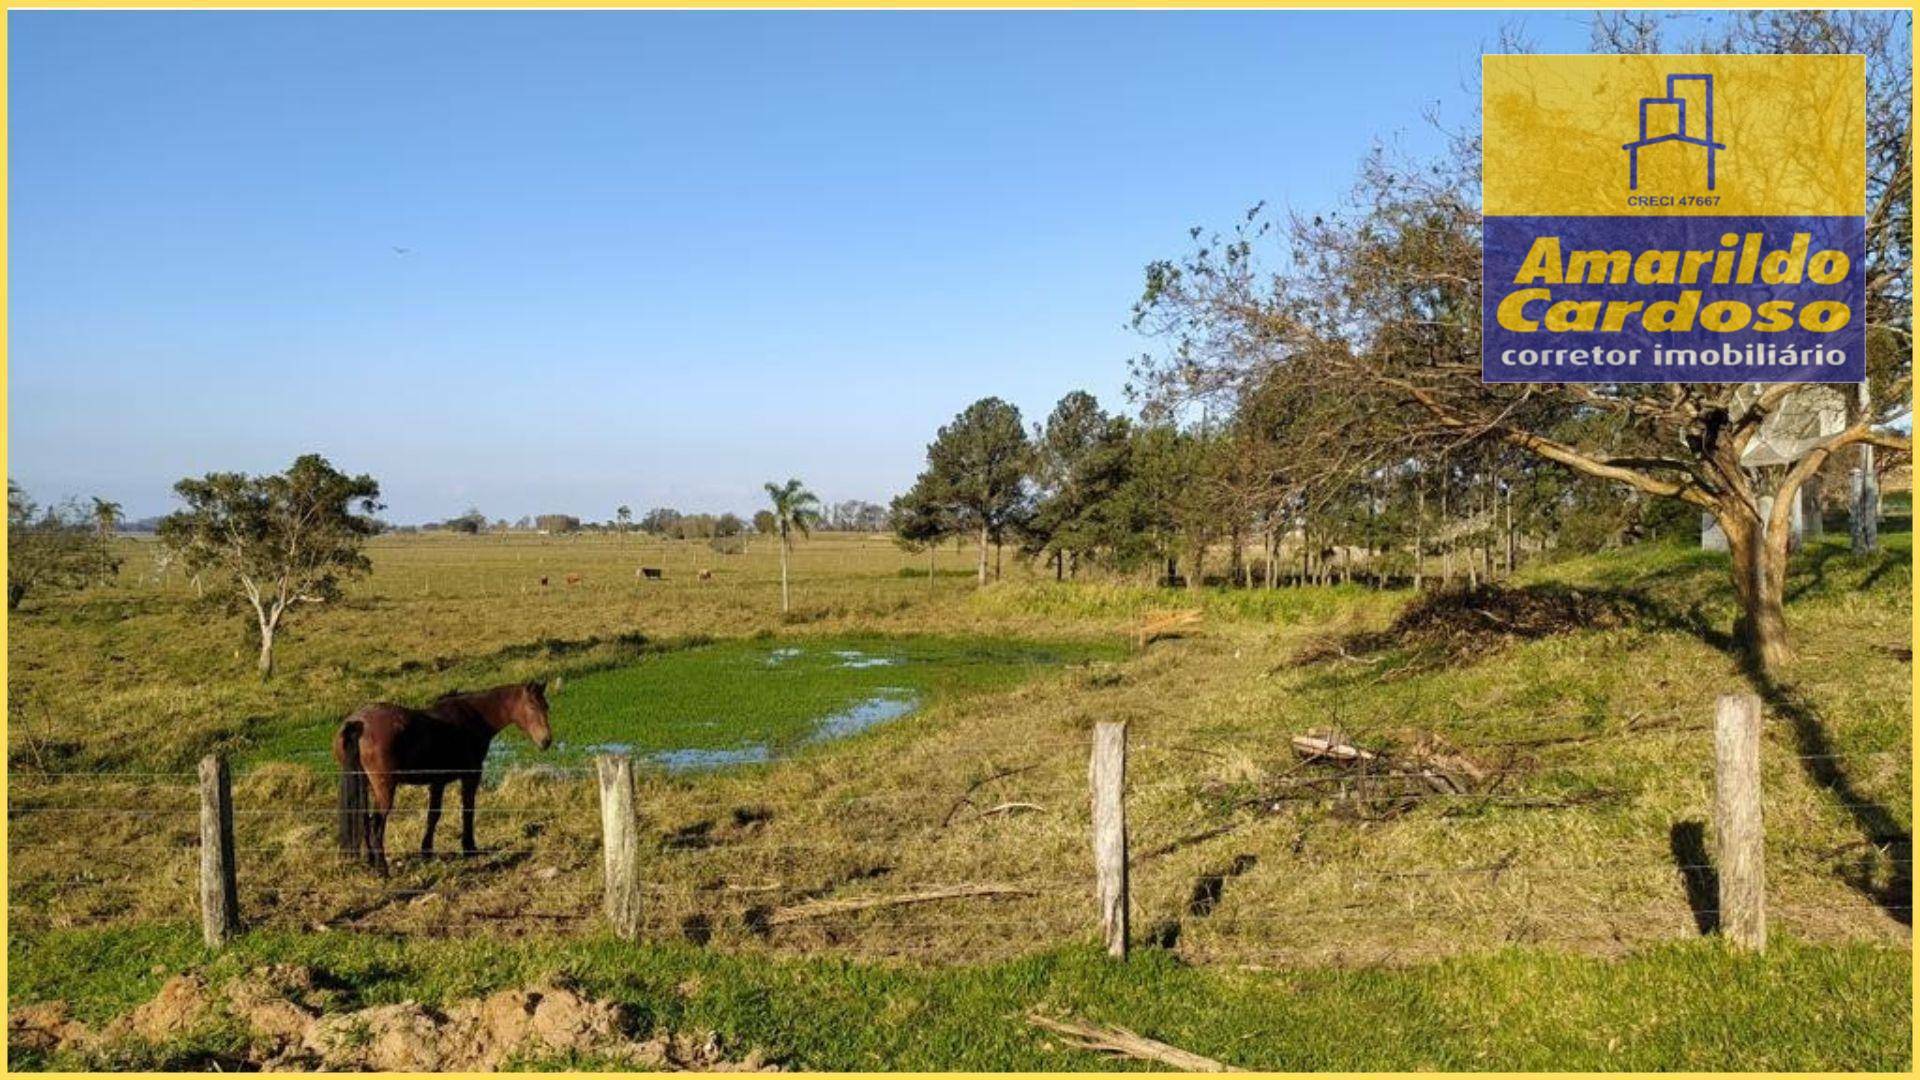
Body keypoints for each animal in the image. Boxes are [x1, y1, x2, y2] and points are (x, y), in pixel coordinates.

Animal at [330, 684, 552, 868]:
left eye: (546, 707)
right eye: (532, 706)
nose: (547, 741)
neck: (472, 719)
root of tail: (357, 723)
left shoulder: (437, 782)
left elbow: (433, 816)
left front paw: (427, 851)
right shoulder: (470, 777)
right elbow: (467, 811)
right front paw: (469, 848)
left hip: (365, 785)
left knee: (365, 820)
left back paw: (371, 862)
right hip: (384, 789)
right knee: (377, 824)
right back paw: (382, 869)